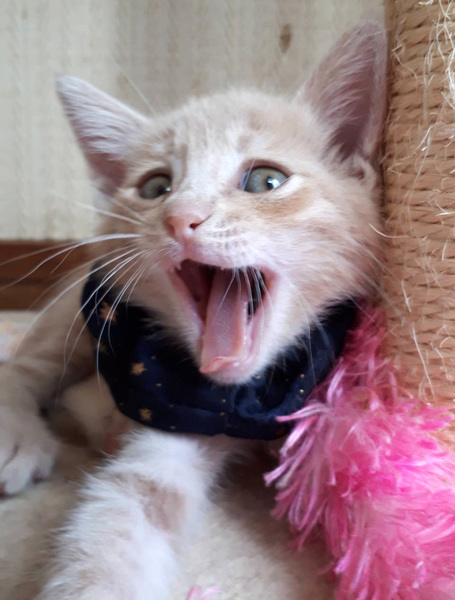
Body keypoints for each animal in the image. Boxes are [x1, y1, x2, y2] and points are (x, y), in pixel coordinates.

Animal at [0, 20, 386, 600]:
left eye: (266, 181)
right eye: (156, 187)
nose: (180, 217)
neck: (246, 396)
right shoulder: (177, 407)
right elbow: (124, 517)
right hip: (80, 305)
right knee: (25, 366)